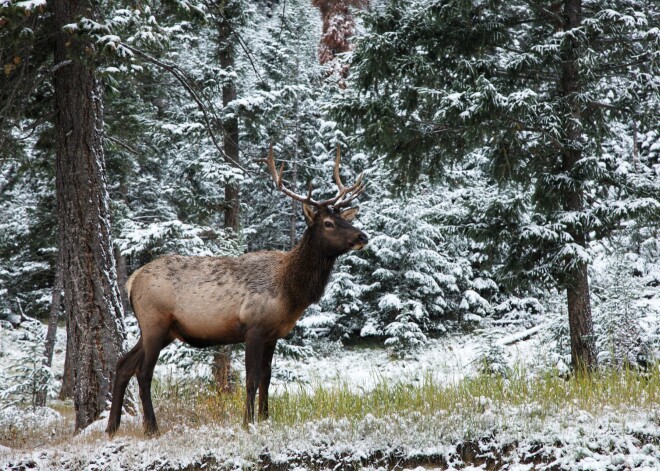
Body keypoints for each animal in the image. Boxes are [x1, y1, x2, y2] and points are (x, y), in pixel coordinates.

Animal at [105, 146, 368, 436]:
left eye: (344, 218)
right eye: (328, 223)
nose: (362, 237)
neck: (291, 291)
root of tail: (132, 281)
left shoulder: (273, 335)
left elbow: (267, 377)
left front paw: (265, 418)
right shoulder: (253, 327)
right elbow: (251, 379)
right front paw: (247, 421)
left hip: (162, 330)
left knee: (123, 364)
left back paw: (111, 427)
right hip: (155, 322)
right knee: (143, 372)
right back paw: (151, 427)